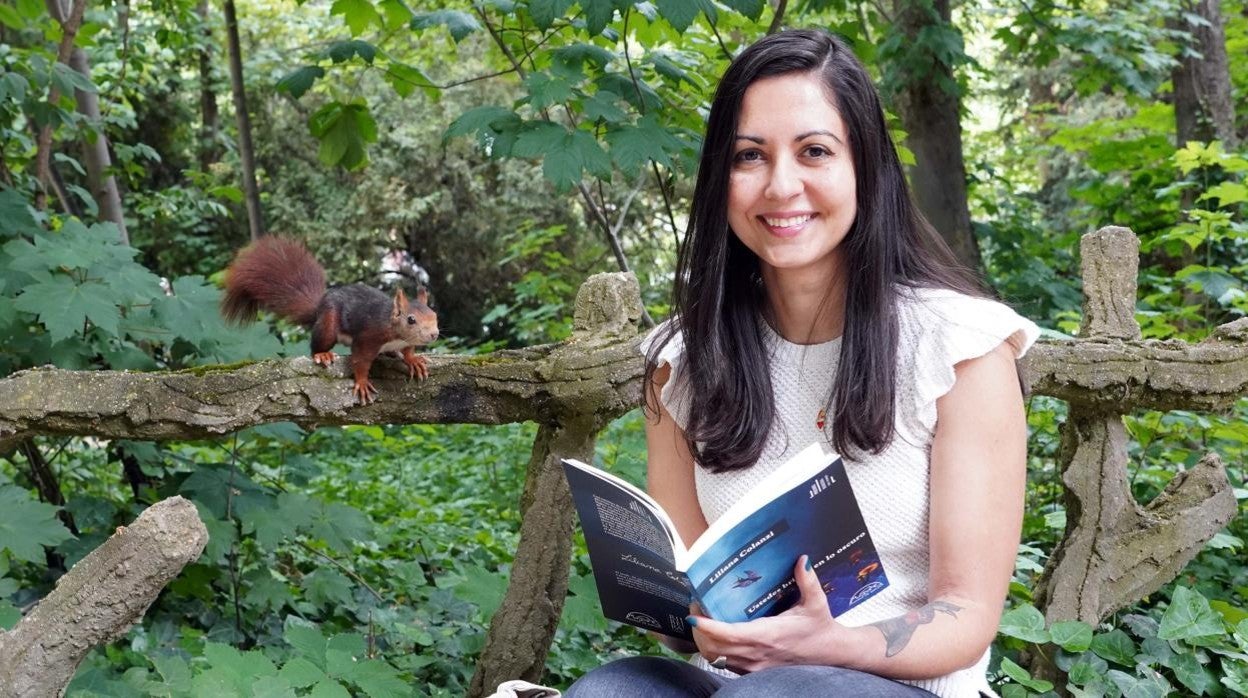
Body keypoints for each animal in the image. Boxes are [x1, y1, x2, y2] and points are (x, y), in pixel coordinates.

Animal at [222, 238, 441, 407]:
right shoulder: (369, 337)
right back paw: (322, 354)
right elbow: (360, 360)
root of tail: (319, 307)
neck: (395, 332)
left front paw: (413, 360)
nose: (434, 334)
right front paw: (362, 383)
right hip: (328, 323)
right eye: (411, 319)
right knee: (318, 345)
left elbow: (408, 351)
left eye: (435, 315)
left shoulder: (405, 341)